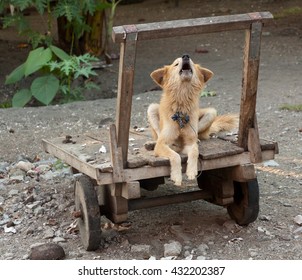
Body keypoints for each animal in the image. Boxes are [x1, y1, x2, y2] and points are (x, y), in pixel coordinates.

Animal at [148, 54, 238, 186]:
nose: (186, 56)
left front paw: (191, 171)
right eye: (176, 64)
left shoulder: (190, 143)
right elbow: (175, 156)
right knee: (157, 136)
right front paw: (177, 176)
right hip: (152, 108)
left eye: (191, 61)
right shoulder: (162, 144)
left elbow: (195, 151)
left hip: (211, 113)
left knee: (199, 136)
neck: (182, 102)